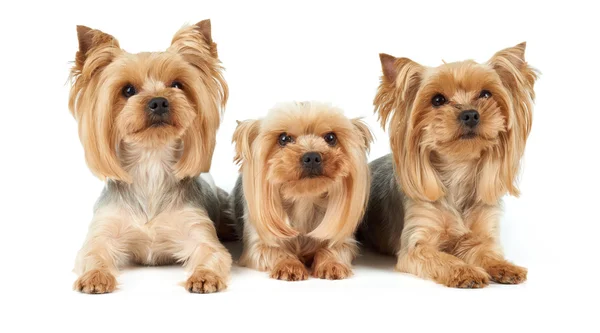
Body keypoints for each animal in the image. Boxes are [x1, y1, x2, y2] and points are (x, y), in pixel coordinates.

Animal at [68, 19, 232, 292]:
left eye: (177, 84)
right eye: (127, 90)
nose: (159, 101)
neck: (151, 162)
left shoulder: (196, 228)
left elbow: (212, 253)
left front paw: (204, 276)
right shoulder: (104, 230)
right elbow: (93, 253)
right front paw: (95, 277)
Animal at [232, 101, 372, 280]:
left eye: (331, 137)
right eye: (283, 138)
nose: (312, 156)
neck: (305, 199)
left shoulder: (342, 239)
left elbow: (336, 248)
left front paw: (331, 264)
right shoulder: (258, 244)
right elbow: (273, 250)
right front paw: (289, 266)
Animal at [358, 42, 536, 286]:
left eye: (486, 93)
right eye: (437, 100)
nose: (470, 114)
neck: (457, 169)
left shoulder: (481, 233)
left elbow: (487, 251)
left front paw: (503, 266)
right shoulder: (417, 244)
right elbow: (440, 257)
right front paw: (465, 271)